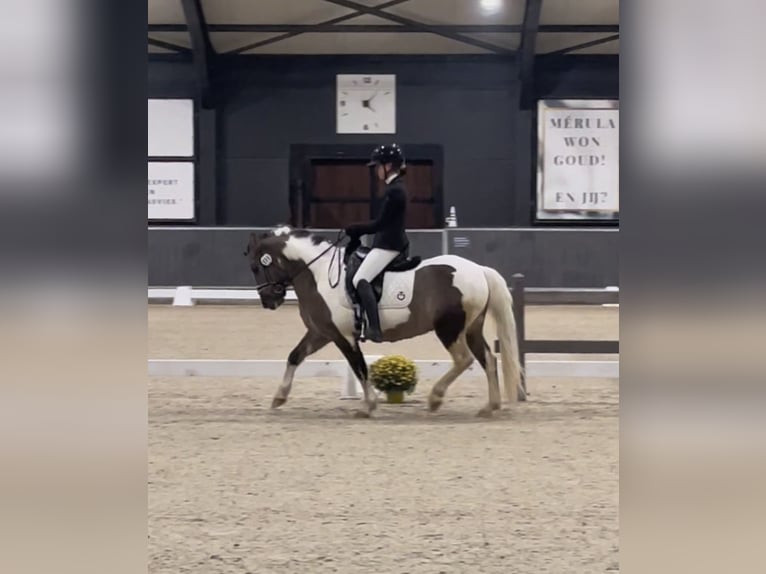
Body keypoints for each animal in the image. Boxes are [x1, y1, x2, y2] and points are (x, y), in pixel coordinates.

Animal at [244, 225, 524, 418]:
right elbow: (294, 356)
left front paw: (368, 406)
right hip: (471, 328)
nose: (269, 301)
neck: (320, 274)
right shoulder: (321, 333)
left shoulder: (343, 336)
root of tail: (479, 270)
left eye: (257, 267)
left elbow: (359, 367)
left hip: (450, 329)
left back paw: (435, 399)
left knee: (464, 360)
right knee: (488, 359)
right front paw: (279, 398)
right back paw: (490, 407)